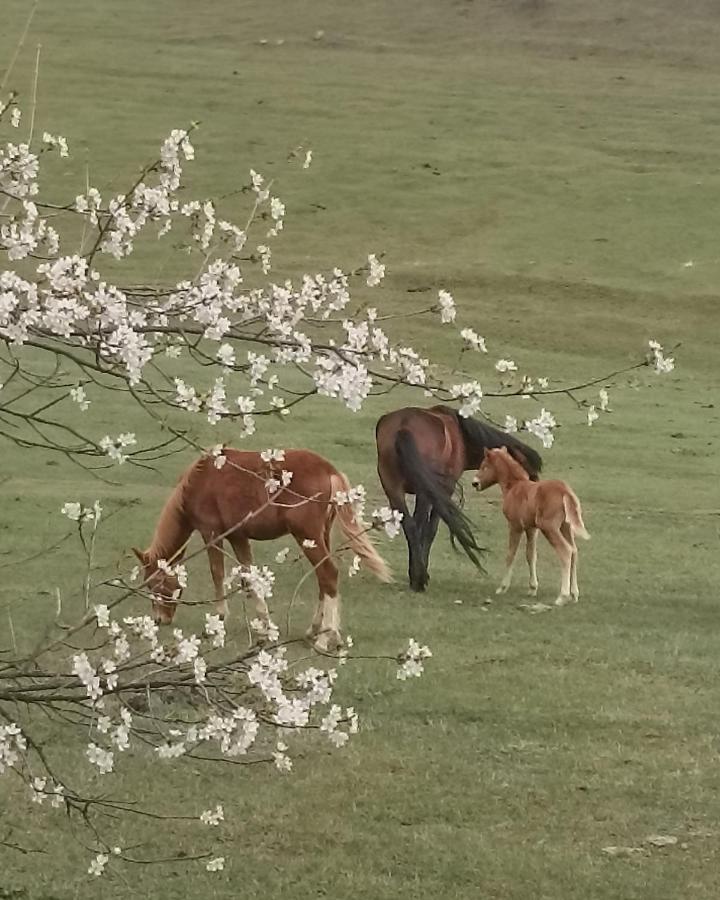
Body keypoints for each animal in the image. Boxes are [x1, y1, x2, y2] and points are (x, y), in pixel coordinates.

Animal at [132, 448, 390, 648]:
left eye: (154, 584)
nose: (159, 620)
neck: (198, 479)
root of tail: (329, 470)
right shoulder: (238, 536)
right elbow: (250, 576)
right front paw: (265, 626)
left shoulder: (211, 532)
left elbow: (217, 572)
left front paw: (219, 619)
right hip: (321, 536)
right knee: (323, 579)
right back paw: (314, 630)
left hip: (308, 536)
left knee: (328, 574)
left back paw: (326, 638)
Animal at [376, 406, 540, 592]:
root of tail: (404, 426)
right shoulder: (445, 489)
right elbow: (430, 530)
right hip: (423, 491)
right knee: (418, 524)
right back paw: (419, 578)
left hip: (393, 489)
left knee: (410, 526)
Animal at [476, 444, 588, 604]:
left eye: (484, 466)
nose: (475, 483)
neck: (515, 486)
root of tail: (565, 492)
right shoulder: (531, 529)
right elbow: (531, 555)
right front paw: (532, 588)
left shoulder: (515, 526)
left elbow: (510, 554)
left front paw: (502, 587)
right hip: (565, 527)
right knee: (574, 551)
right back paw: (574, 594)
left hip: (550, 528)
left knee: (566, 551)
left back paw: (562, 596)